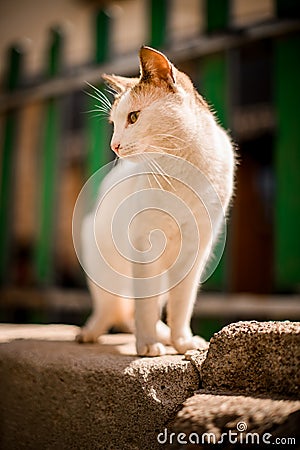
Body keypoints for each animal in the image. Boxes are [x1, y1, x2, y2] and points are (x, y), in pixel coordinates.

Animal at [76, 45, 236, 356]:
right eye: (114, 124)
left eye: (133, 117)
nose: (114, 145)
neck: (180, 169)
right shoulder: (143, 245)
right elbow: (146, 306)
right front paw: (148, 345)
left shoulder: (195, 250)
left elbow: (182, 304)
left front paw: (183, 342)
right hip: (101, 261)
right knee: (111, 308)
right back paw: (91, 333)